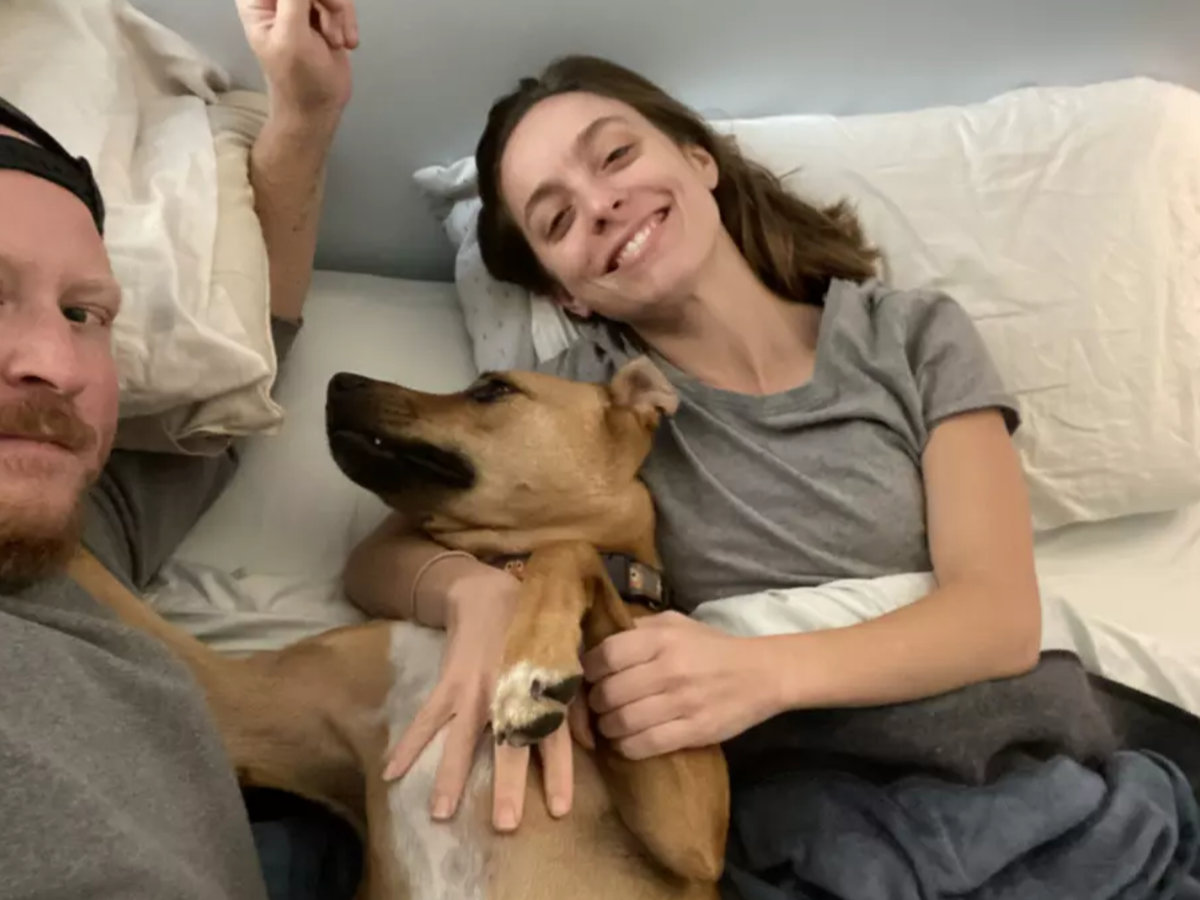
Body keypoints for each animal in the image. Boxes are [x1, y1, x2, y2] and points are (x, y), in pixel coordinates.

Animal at [71, 356, 729, 900]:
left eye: (493, 389)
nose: (339, 382)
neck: (498, 568)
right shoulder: (238, 703)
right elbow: (91, 571)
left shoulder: (688, 836)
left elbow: (567, 548)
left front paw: (532, 669)